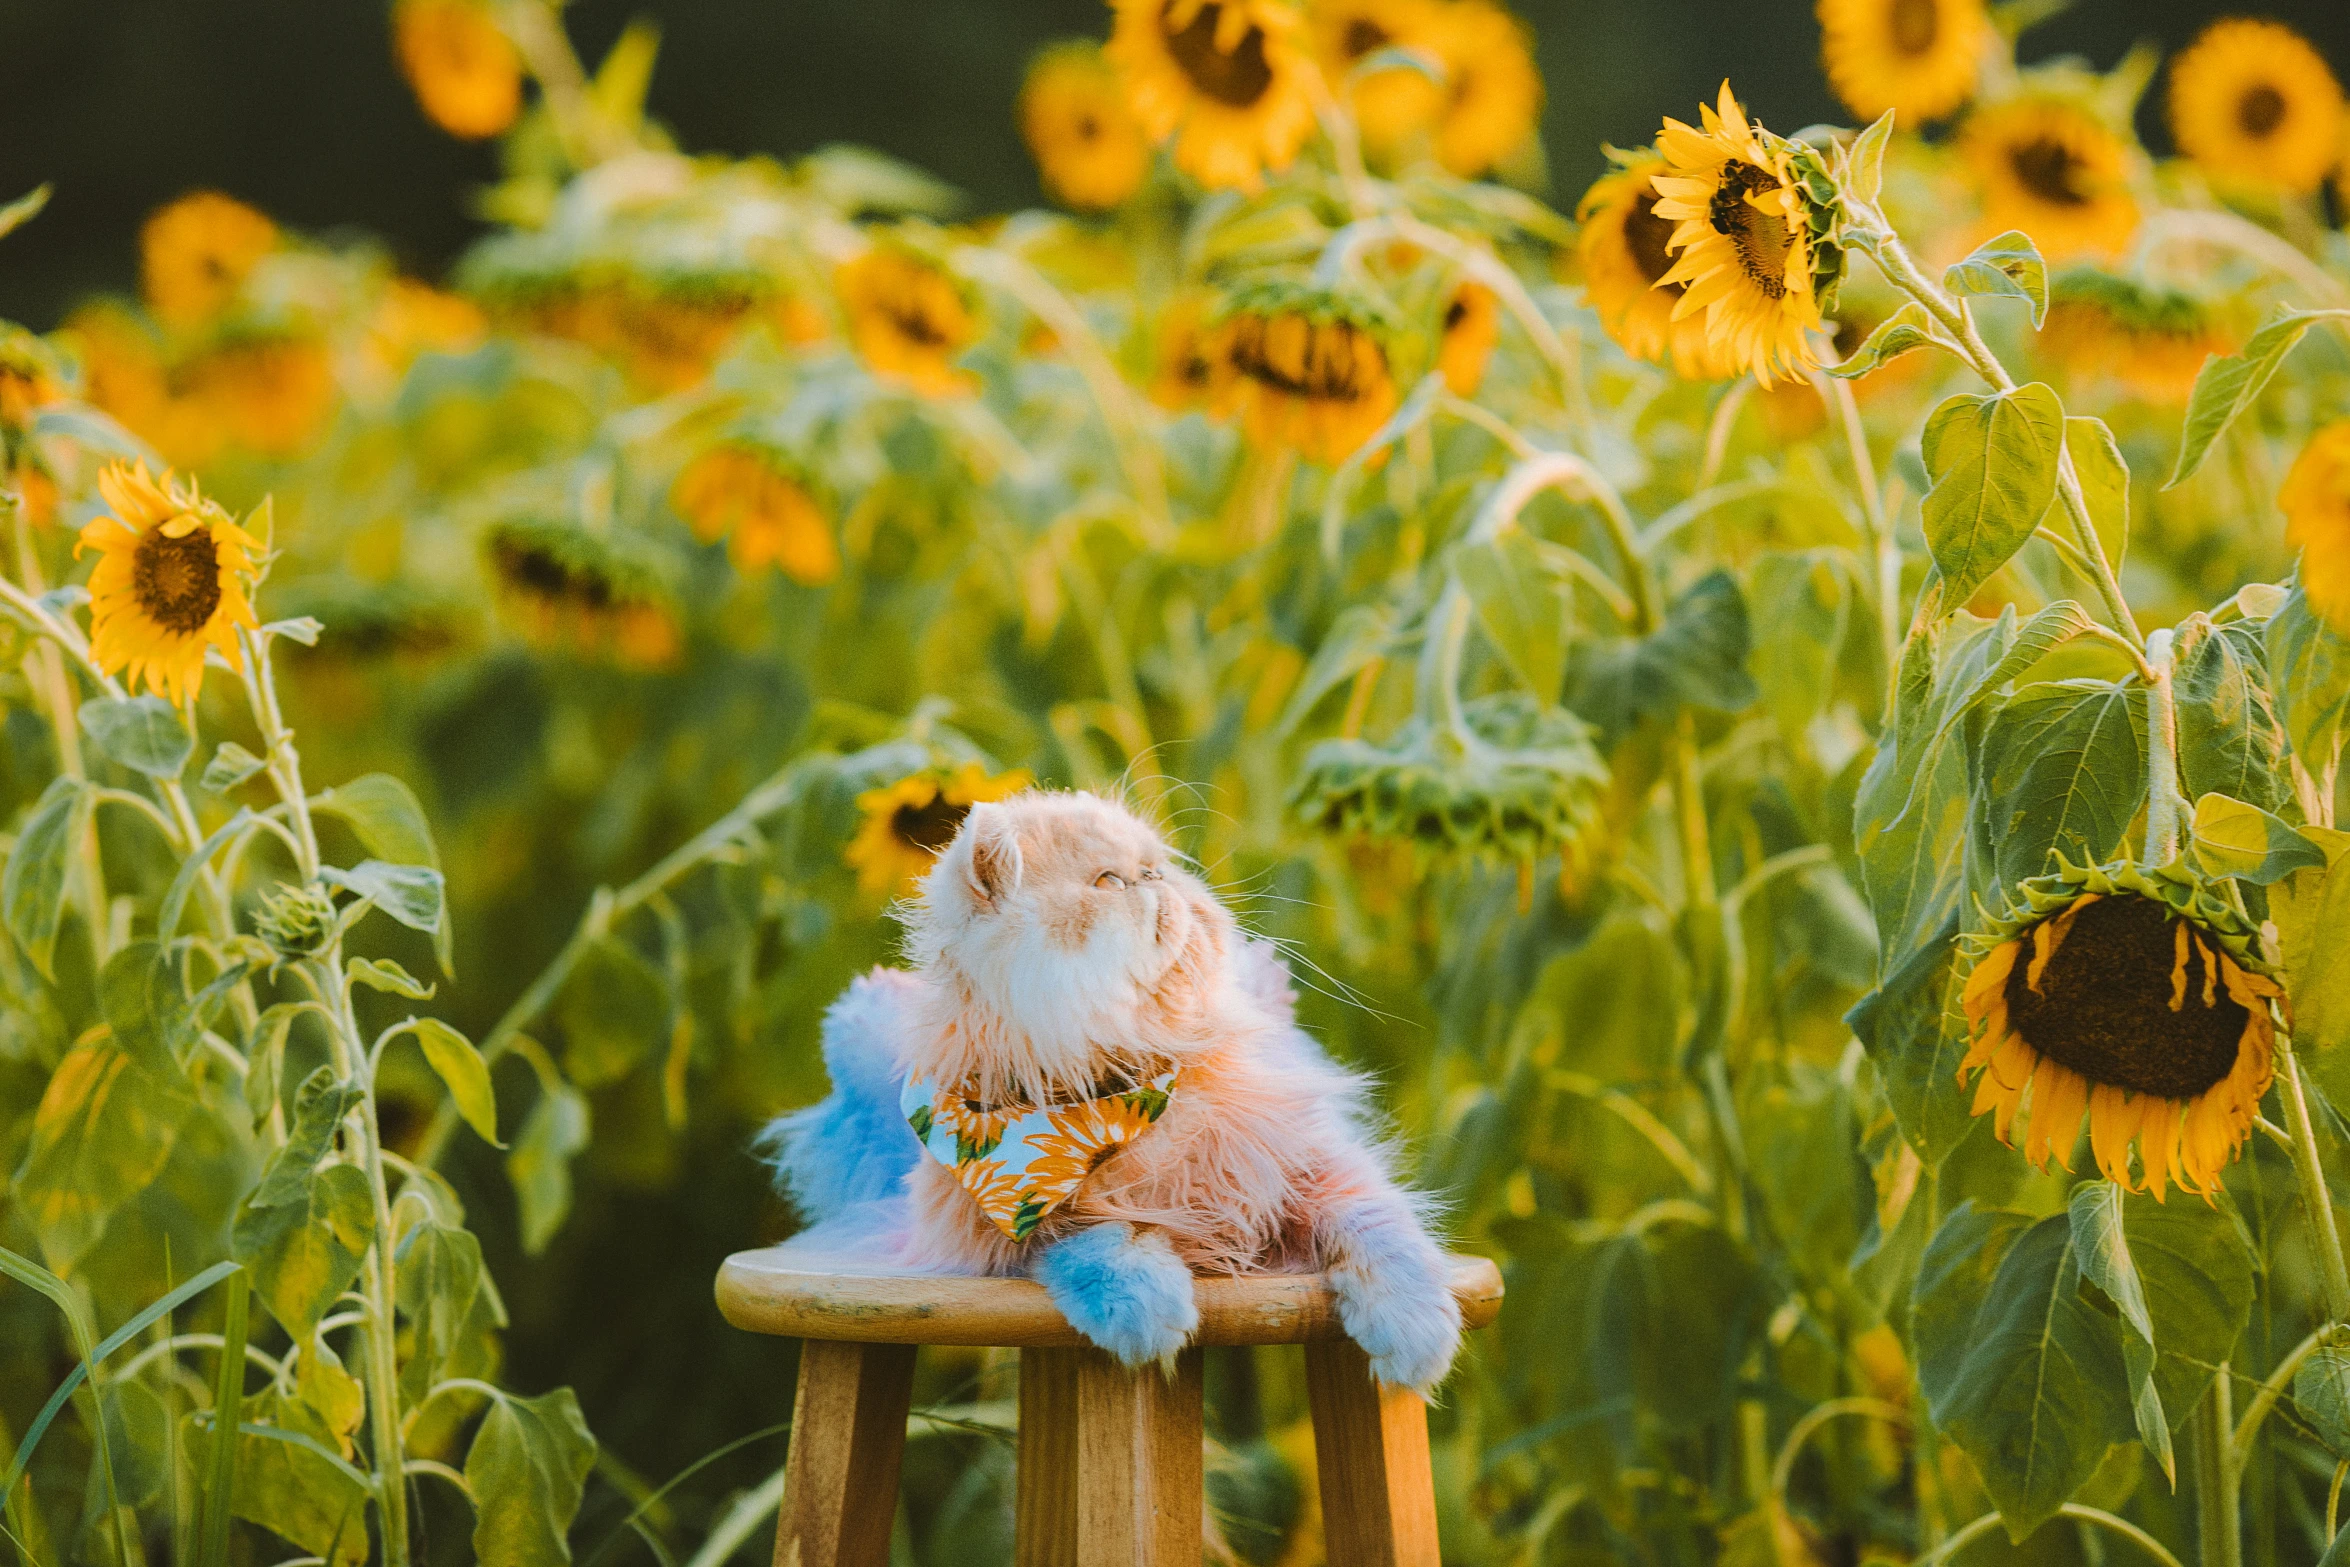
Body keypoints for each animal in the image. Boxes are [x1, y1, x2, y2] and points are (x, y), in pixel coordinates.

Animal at [766, 789, 1466, 1390]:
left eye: (1156, 867)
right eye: (1108, 882)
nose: (1156, 880)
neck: (1123, 1085)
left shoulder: (1308, 1164)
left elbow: (1383, 1230)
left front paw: (1416, 1340)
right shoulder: (1014, 1227)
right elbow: (1102, 1242)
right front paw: (1148, 1313)